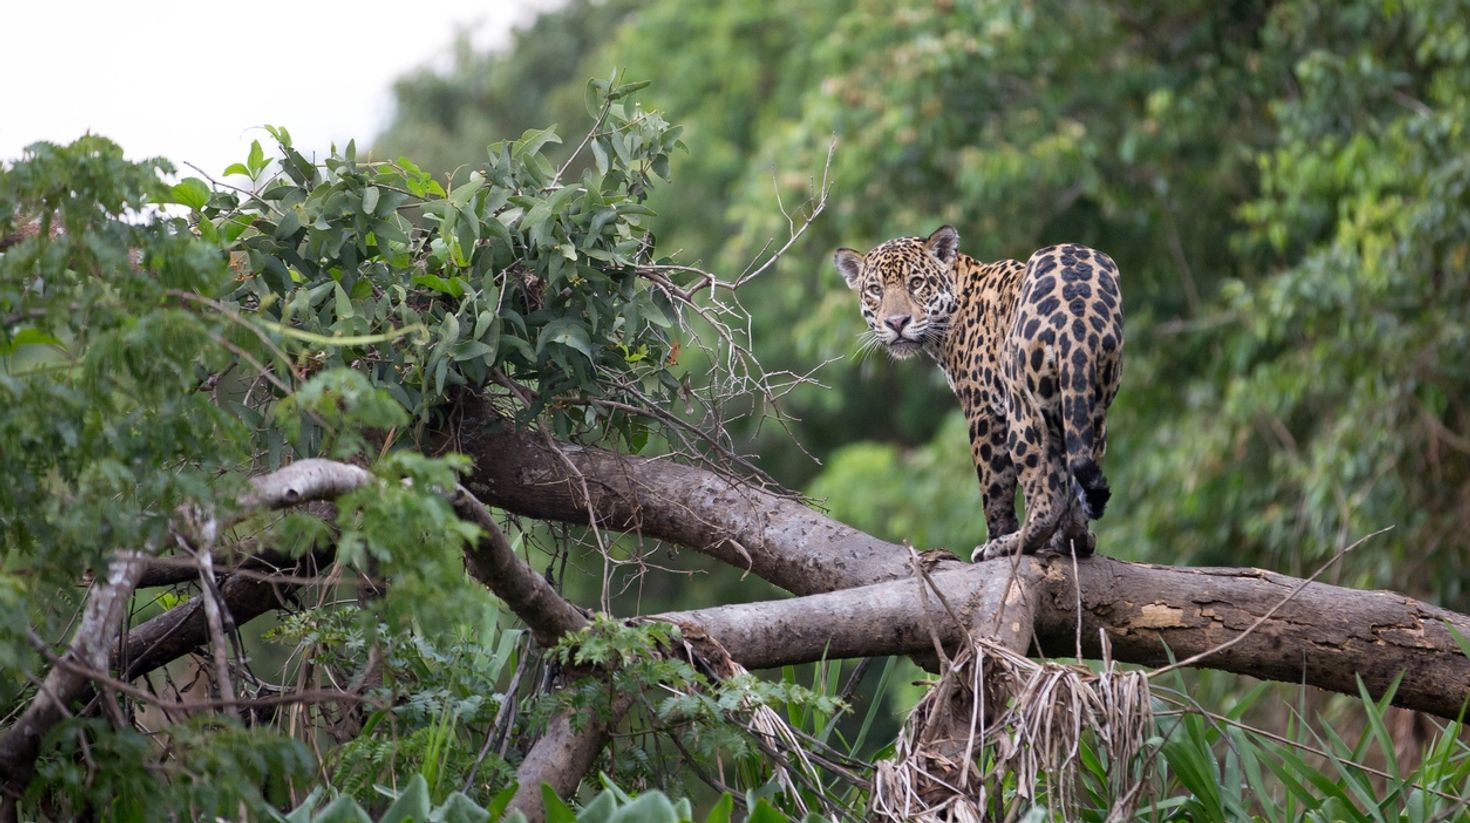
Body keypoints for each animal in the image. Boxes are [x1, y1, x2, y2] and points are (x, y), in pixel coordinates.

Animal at [833, 225, 1123, 561]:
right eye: (876, 289)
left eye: (916, 283)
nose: (896, 322)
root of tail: (1077, 308)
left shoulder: (983, 410)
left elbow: (994, 488)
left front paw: (994, 537)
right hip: (1091, 404)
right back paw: (1074, 538)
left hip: (1022, 408)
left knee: (1046, 497)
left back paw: (1009, 544)